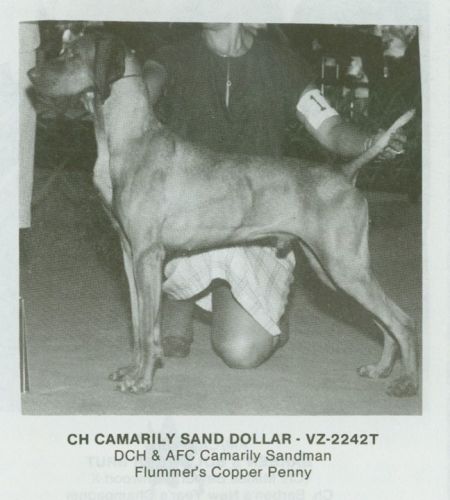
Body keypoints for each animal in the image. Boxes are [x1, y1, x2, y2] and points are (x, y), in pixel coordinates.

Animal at [28, 32, 418, 398]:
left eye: (71, 54)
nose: (31, 74)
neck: (129, 140)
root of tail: (345, 172)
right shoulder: (129, 256)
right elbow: (139, 324)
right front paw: (132, 370)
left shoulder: (147, 256)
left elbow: (148, 327)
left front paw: (142, 380)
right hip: (333, 271)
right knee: (384, 322)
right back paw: (381, 369)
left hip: (344, 267)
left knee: (403, 322)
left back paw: (407, 383)